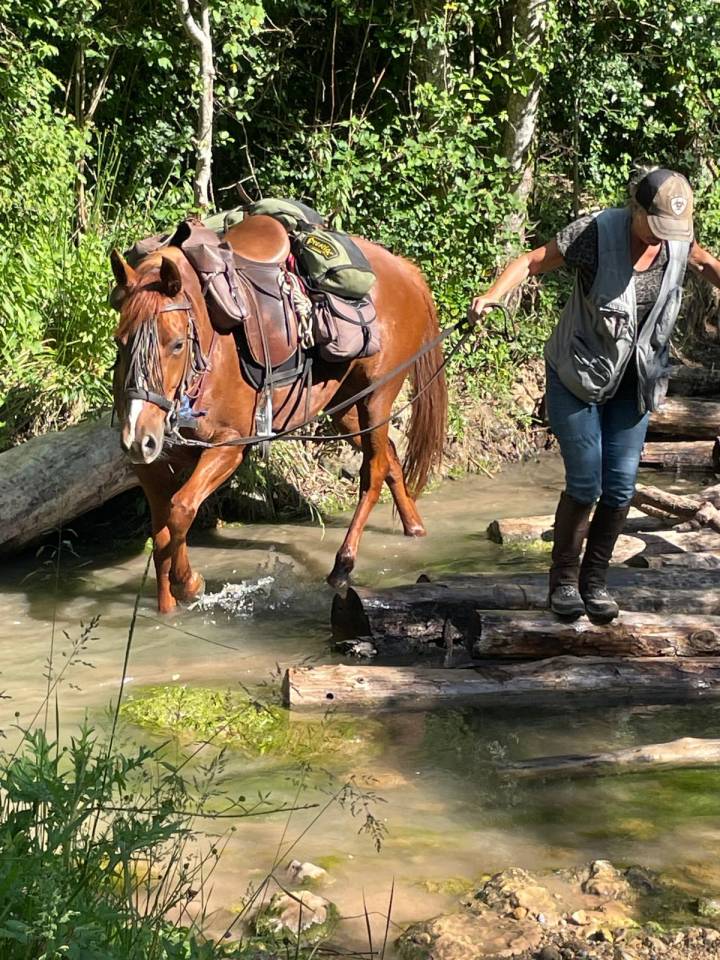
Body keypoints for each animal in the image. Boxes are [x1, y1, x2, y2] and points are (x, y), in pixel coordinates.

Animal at [110, 220, 447, 614]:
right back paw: (414, 529)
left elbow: (180, 510)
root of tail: (405, 270)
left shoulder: (229, 446)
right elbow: (162, 529)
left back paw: (343, 564)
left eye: (177, 344)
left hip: (377, 397)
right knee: (389, 455)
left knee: (374, 470)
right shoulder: (152, 466)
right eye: (120, 341)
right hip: (346, 407)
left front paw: (190, 584)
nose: (138, 439)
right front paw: (168, 604)